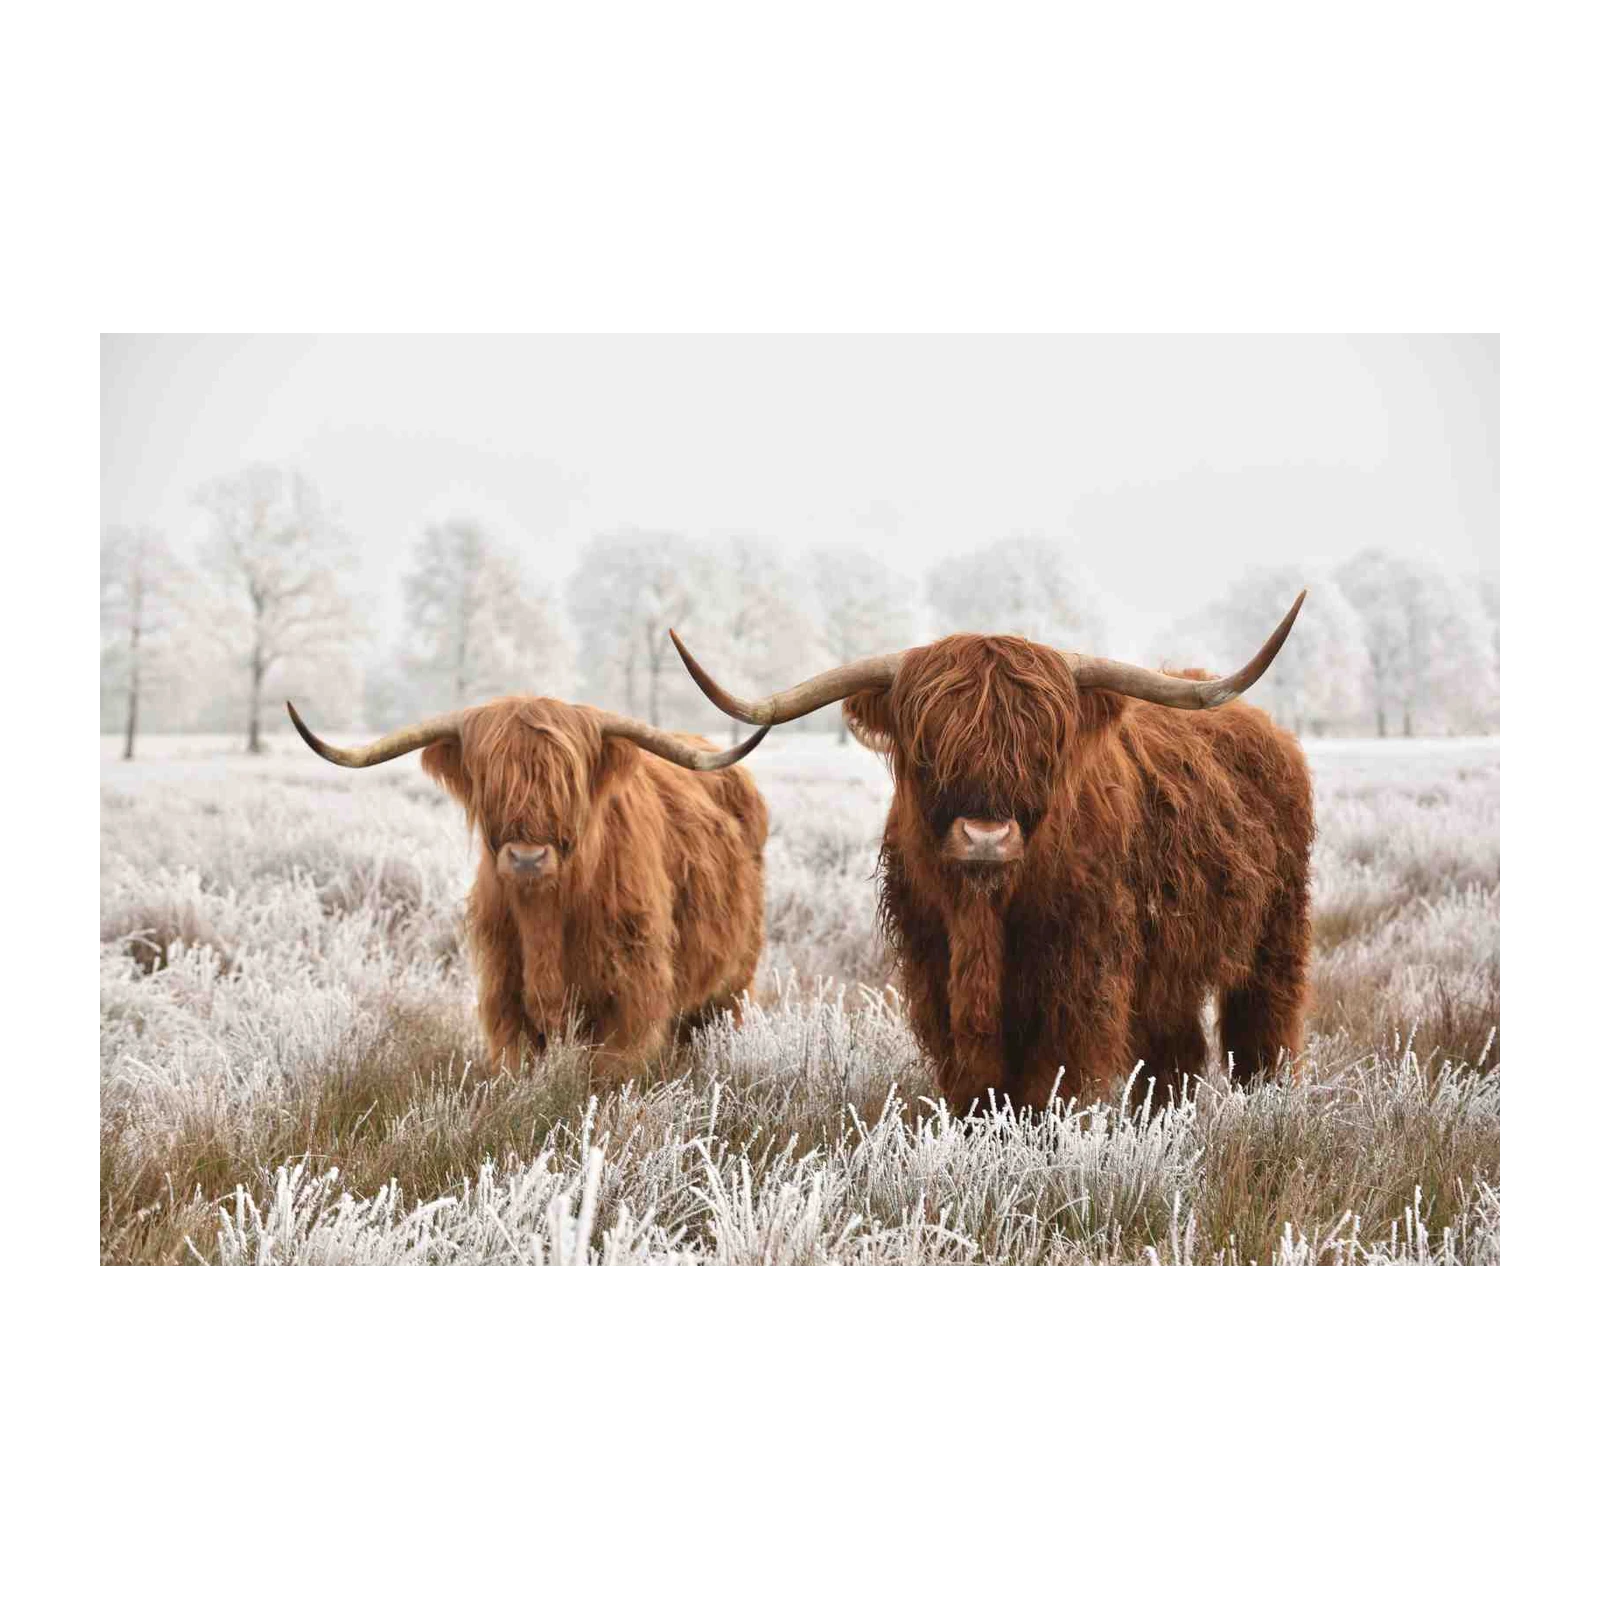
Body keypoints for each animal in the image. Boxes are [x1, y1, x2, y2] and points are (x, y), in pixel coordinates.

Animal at [287, 697, 770, 1079]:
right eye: (490, 781)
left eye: (566, 782)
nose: (527, 858)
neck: (545, 917)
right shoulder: (505, 997)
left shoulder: (631, 999)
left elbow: (609, 1077)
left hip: (731, 985)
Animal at [669, 595, 1313, 1112]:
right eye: (927, 747)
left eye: (1043, 747)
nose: (984, 837)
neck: (984, 915)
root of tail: (1269, 730)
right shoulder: (935, 973)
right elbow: (975, 1087)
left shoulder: (1081, 980)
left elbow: (1050, 1086)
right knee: (1176, 1051)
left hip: (1275, 935)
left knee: (1262, 1030)